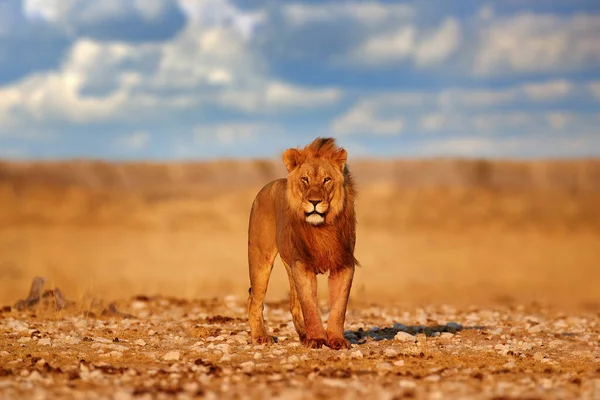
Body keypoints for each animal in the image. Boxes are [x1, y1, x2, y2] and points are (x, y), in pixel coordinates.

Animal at [247, 138, 358, 350]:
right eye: (305, 179)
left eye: (326, 180)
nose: (314, 201)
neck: (322, 228)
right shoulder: (302, 265)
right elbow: (310, 305)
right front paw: (317, 339)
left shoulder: (343, 263)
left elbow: (339, 307)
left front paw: (336, 339)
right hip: (260, 259)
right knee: (254, 298)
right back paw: (260, 336)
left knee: (293, 304)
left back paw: (304, 335)